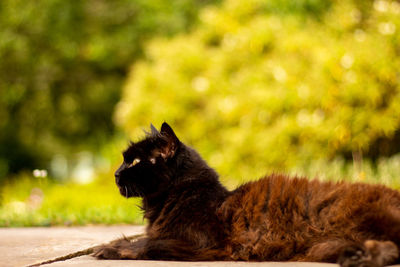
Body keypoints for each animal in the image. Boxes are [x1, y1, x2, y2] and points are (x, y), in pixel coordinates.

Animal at [94, 123, 400, 267]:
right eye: (124, 160)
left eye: (134, 162)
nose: (116, 174)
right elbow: (141, 238)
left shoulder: (199, 243)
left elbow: (145, 243)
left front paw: (107, 249)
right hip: (329, 245)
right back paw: (358, 258)